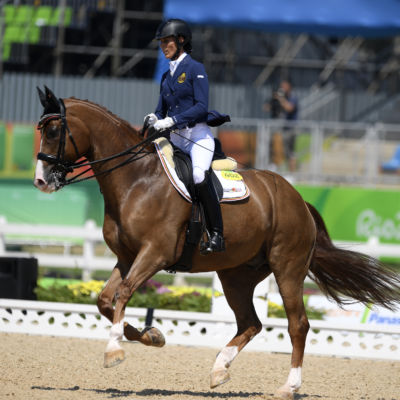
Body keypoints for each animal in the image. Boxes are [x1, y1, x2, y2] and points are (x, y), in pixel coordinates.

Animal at [34, 88, 400, 400]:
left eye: (53, 131)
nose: (40, 181)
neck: (137, 179)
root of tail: (296, 198)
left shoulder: (155, 254)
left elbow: (122, 294)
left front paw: (114, 351)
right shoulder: (127, 258)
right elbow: (105, 301)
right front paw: (152, 336)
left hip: (288, 268)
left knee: (298, 324)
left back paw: (289, 385)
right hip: (236, 275)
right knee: (251, 323)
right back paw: (219, 369)